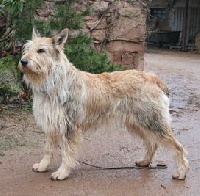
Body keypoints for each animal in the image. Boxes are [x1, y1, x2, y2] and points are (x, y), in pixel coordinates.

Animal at [18, 28, 188, 180]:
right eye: (27, 49)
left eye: (41, 50)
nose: (23, 61)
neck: (54, 82)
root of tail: (152, 78)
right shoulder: (51, 125)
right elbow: (48, 149)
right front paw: (43, 166)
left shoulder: (70, 128)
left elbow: (67, 153)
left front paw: (62, 172)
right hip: (139, 124)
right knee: (152, 144)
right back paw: (145, 161)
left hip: (153, 124)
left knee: (177, 147)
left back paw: (181, 172)